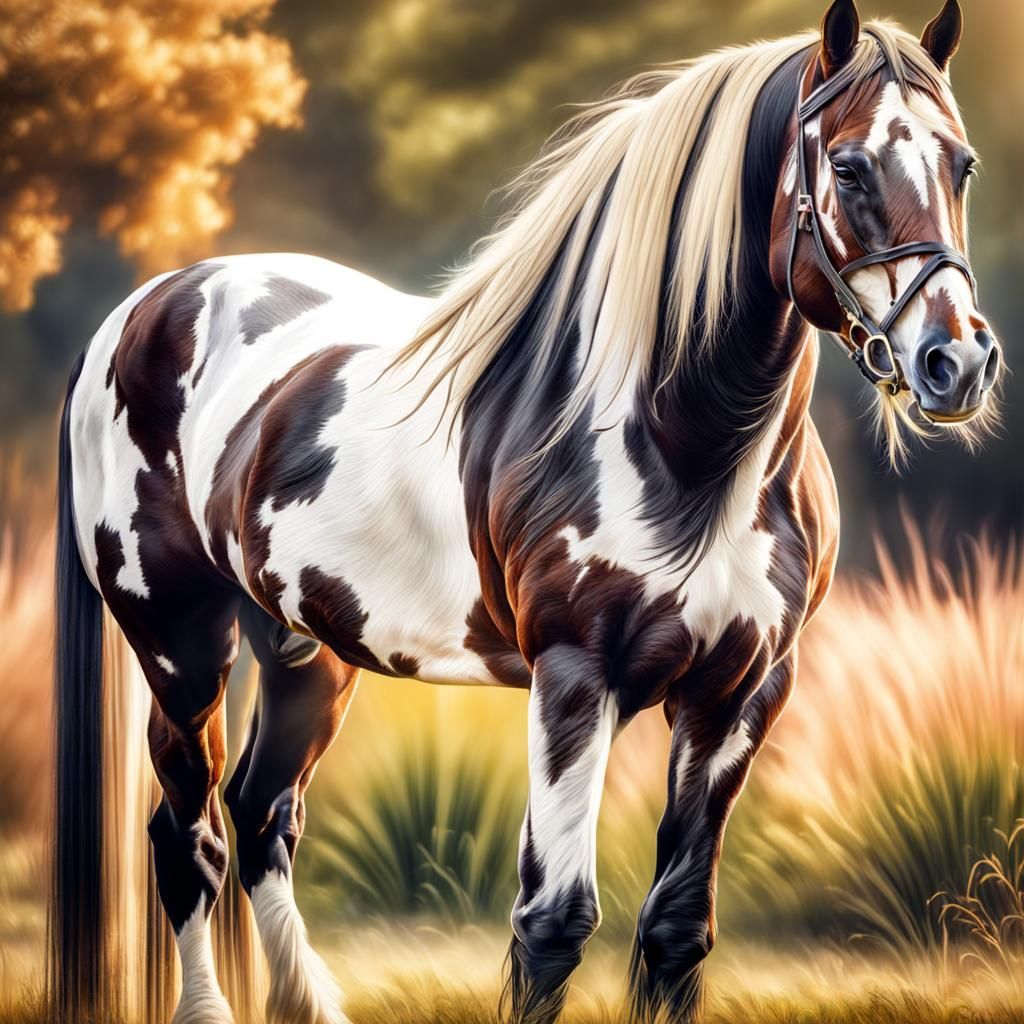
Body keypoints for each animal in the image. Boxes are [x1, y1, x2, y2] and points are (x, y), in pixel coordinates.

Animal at [50, 1, 1000, 1021]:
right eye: (850, 166)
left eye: (961, 164)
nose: (956, 362)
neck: (687, 449)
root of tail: (140, 312)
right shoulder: (574, 678)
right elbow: (552, 925)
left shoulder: (739, 692)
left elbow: (675, 931)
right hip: (181, 646)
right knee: (188, 837)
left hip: (305, 650)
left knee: (261, 814)